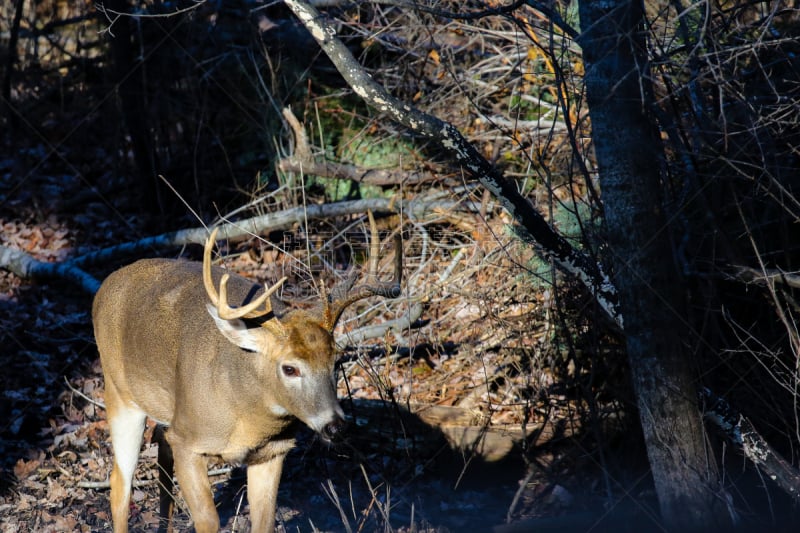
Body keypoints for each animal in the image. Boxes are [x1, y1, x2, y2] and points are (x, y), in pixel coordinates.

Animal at [94, 214, 404, 528]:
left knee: (159, 445)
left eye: (336, 361)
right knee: (119, 484)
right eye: (290, 368)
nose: (335, 426)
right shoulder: (187, 442)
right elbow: (208, 521)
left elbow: (264, 522)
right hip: (120, 394)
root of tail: (105, 286)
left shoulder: (272, 452)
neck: (245, 412)